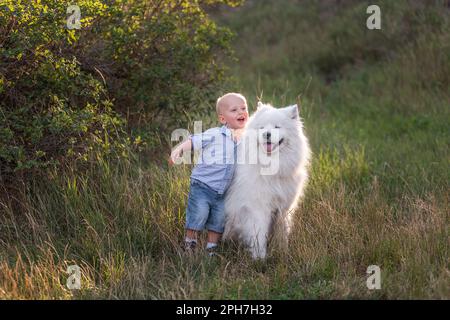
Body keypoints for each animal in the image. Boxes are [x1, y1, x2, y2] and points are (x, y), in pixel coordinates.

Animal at [224, 102, 312, 260]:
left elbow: (282, 232)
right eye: (262, 128)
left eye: (277, 127)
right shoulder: (258, 208)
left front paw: (282, 252)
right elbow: (259, 235)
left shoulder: (283, 209)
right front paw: (260, 258)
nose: (267, 134)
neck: (272, 168)